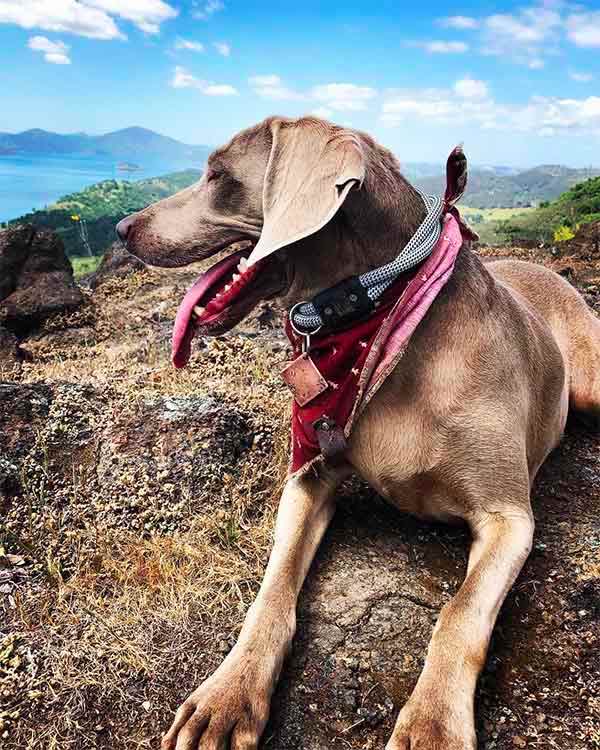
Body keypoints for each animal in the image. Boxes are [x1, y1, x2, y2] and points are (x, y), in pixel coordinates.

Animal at [117, 117, 600, 750]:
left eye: (219, 175)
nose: (122, 229)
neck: (383, 320)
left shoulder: (509, 518)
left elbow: (460, 613)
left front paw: (433, 724)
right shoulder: (308, 475)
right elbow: (271, 589)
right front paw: (228, 694)